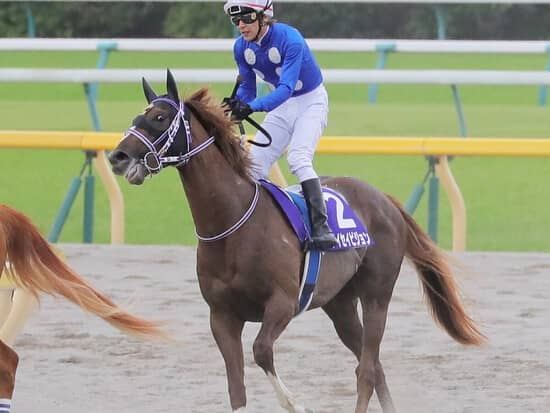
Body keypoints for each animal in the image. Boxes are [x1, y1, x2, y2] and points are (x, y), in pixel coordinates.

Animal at [108, 70, 485, 413]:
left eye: (159, 117)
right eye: (137, 116)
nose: (118, 157)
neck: (232, 224)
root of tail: (384, 199)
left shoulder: (282, 303)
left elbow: (261, 351)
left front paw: (297, 404)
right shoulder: (221, 316)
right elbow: (236, 387)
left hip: (377, 295)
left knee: (366, 368)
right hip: (340, 304)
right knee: (374, 366)